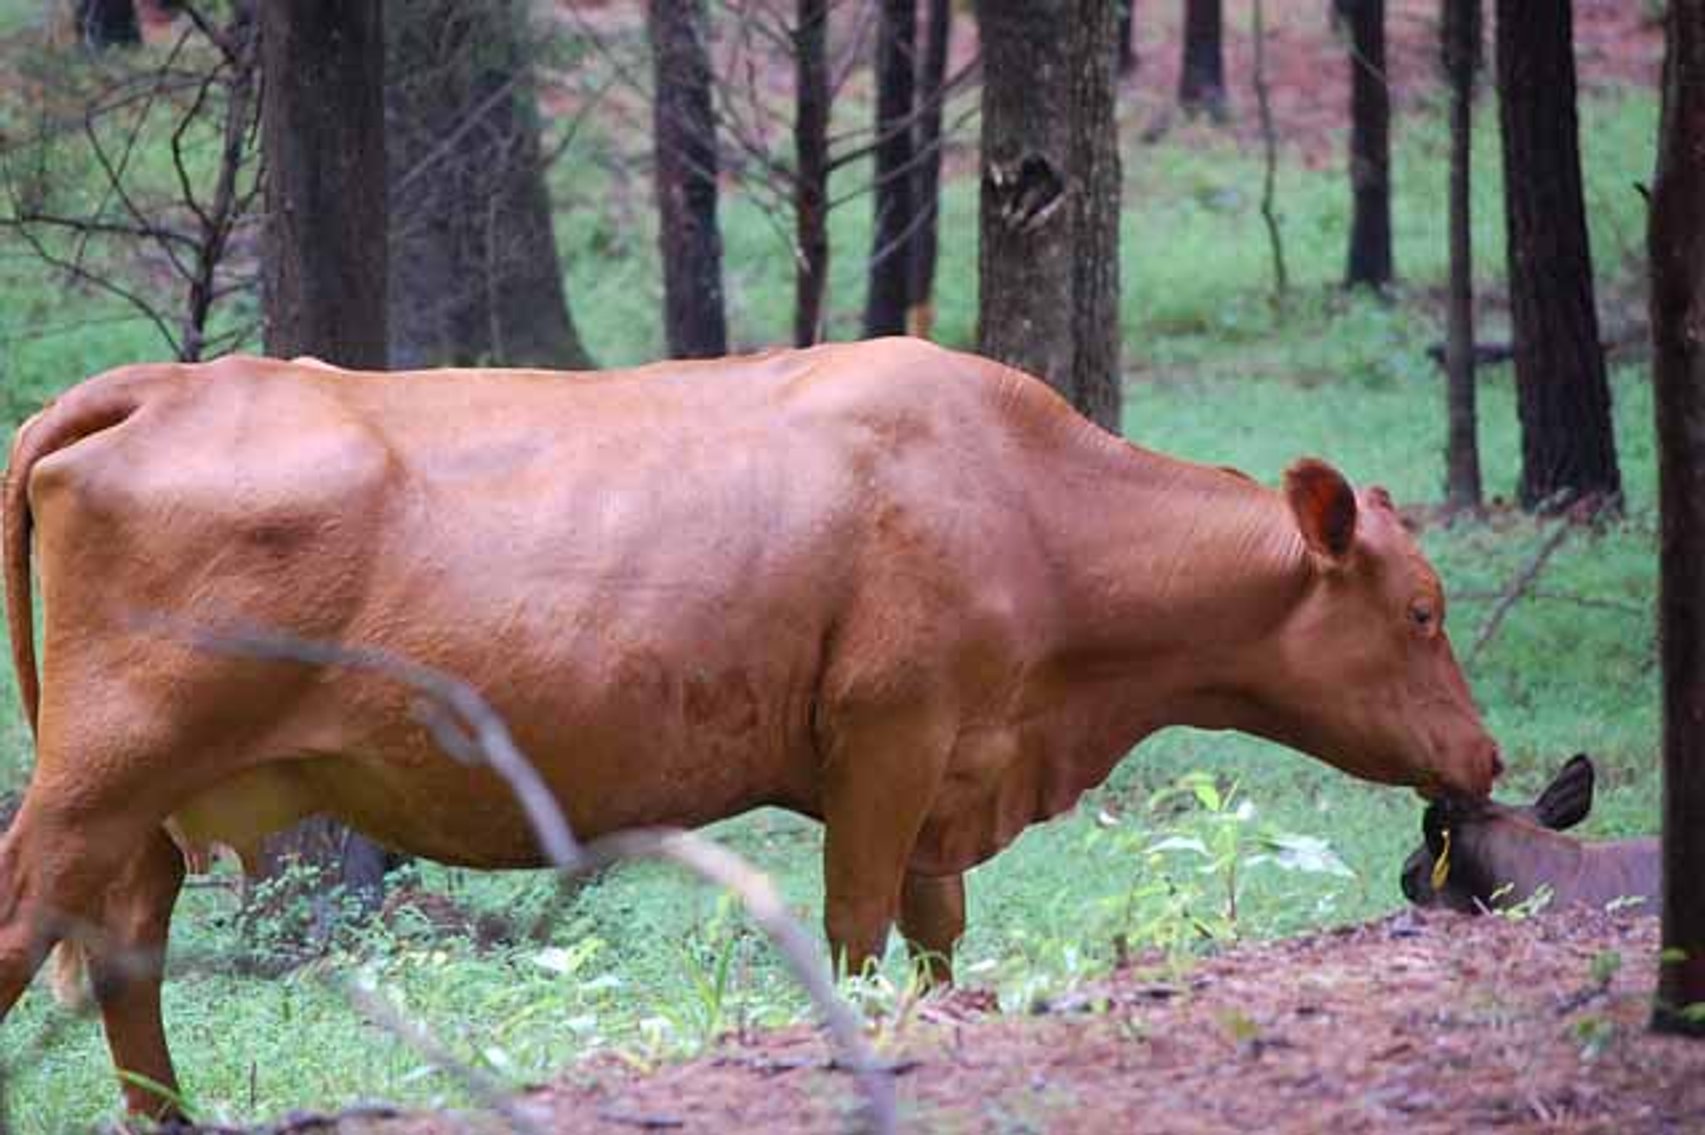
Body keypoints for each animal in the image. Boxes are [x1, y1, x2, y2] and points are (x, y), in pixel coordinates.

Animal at [0, 338, 1502, 1118]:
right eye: (1422, 609)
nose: (1487, 759)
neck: (1026, 502)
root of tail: (169, 378)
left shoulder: (948, 775)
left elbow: (937, 940)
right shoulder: (886, 744)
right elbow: (854, 933)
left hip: (142, 806)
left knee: (122, 953)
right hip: (96, 775)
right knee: (31, 925)